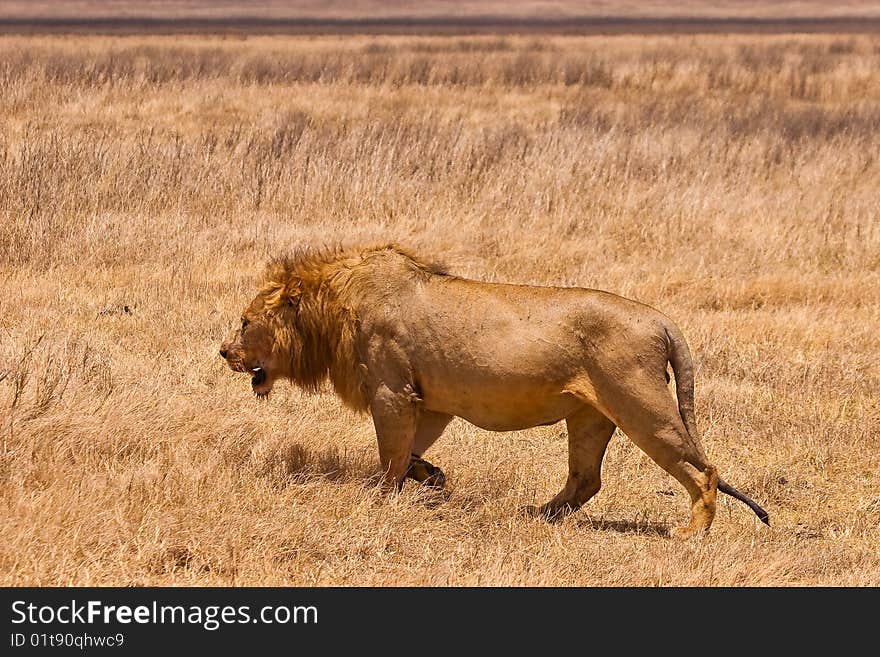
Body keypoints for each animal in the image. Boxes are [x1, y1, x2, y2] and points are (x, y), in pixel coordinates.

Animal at [222, 243, 768, 536]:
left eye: (245, 322)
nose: (223, 351)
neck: (331, 304)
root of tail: (662, 320)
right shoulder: (429, 401)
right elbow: (412, 450)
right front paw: (433, 477)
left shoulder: (391, 391)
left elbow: (390, 454)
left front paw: (377, 497)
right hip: (591, 416)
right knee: (586, 479)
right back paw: (536, 515)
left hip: (641, 404)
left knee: (703, 471)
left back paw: (691, 531)